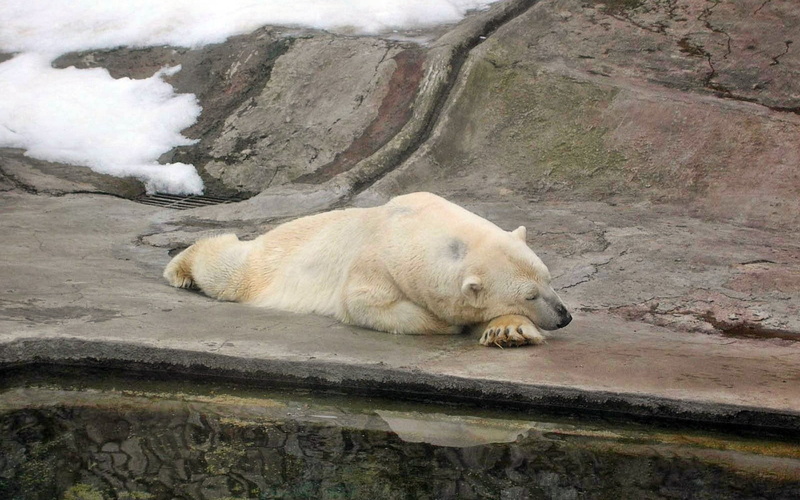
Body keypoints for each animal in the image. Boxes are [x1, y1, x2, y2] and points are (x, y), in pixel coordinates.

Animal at [164, 192, 571, 347]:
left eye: (549, 280)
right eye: (530, 295)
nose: (564, 315)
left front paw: (509, 331)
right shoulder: (376, 262)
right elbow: (362, 303)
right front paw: (447, 323)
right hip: (270, 260)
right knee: (228, 270)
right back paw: (179, 270)